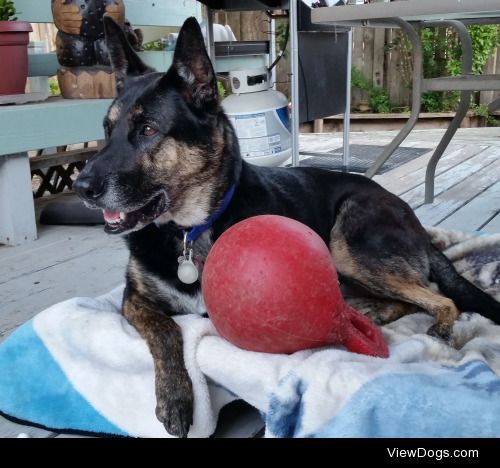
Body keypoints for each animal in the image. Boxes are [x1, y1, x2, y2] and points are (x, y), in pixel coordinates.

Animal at [73, 15, 500, 438]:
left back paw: (428, 327)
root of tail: (416, 223)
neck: (190, 231)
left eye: (148, 130)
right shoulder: (134, 300)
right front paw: (175, 396)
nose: (81, 187)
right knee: (405, 300)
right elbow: (166, 330)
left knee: (441, 299)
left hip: (349, 243)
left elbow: (180, 327)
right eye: (107, 130)